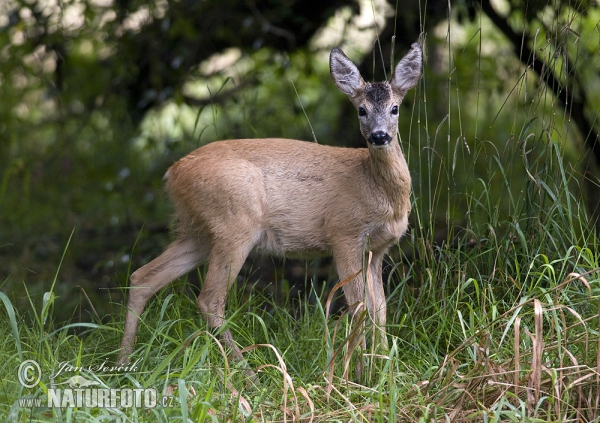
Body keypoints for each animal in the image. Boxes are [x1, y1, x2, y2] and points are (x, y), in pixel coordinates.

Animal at [117, 44, 424, 374]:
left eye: (395, 108)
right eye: (361, 110)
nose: (379, 136)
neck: (376, 188)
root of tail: (172, 174)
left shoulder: (377, 248)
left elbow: (380, 309)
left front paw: (386, 369)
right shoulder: (344, 233)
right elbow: (359, 307)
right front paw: (357, 375)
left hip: (199, 231)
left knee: (143, 277)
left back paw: (123, 360)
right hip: (235, 223)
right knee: (209, 299)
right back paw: (250, 373)